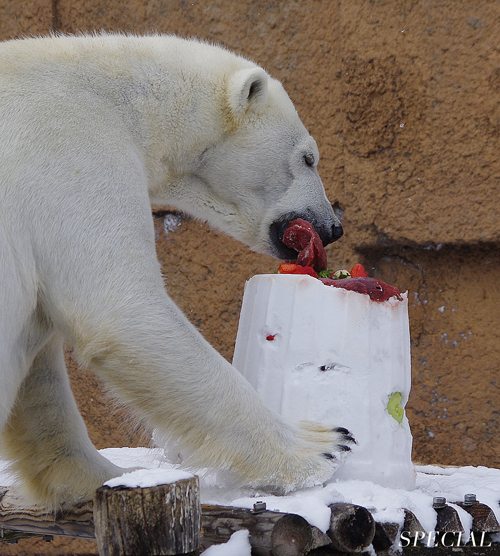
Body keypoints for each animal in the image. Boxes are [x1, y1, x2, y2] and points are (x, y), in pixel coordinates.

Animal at [0, 32, 352, 506]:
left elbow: (40, 376)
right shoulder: (68, 153)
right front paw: (321, 446)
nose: (333, 227)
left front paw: (101, 475)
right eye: (308, 157)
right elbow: (124, 312)